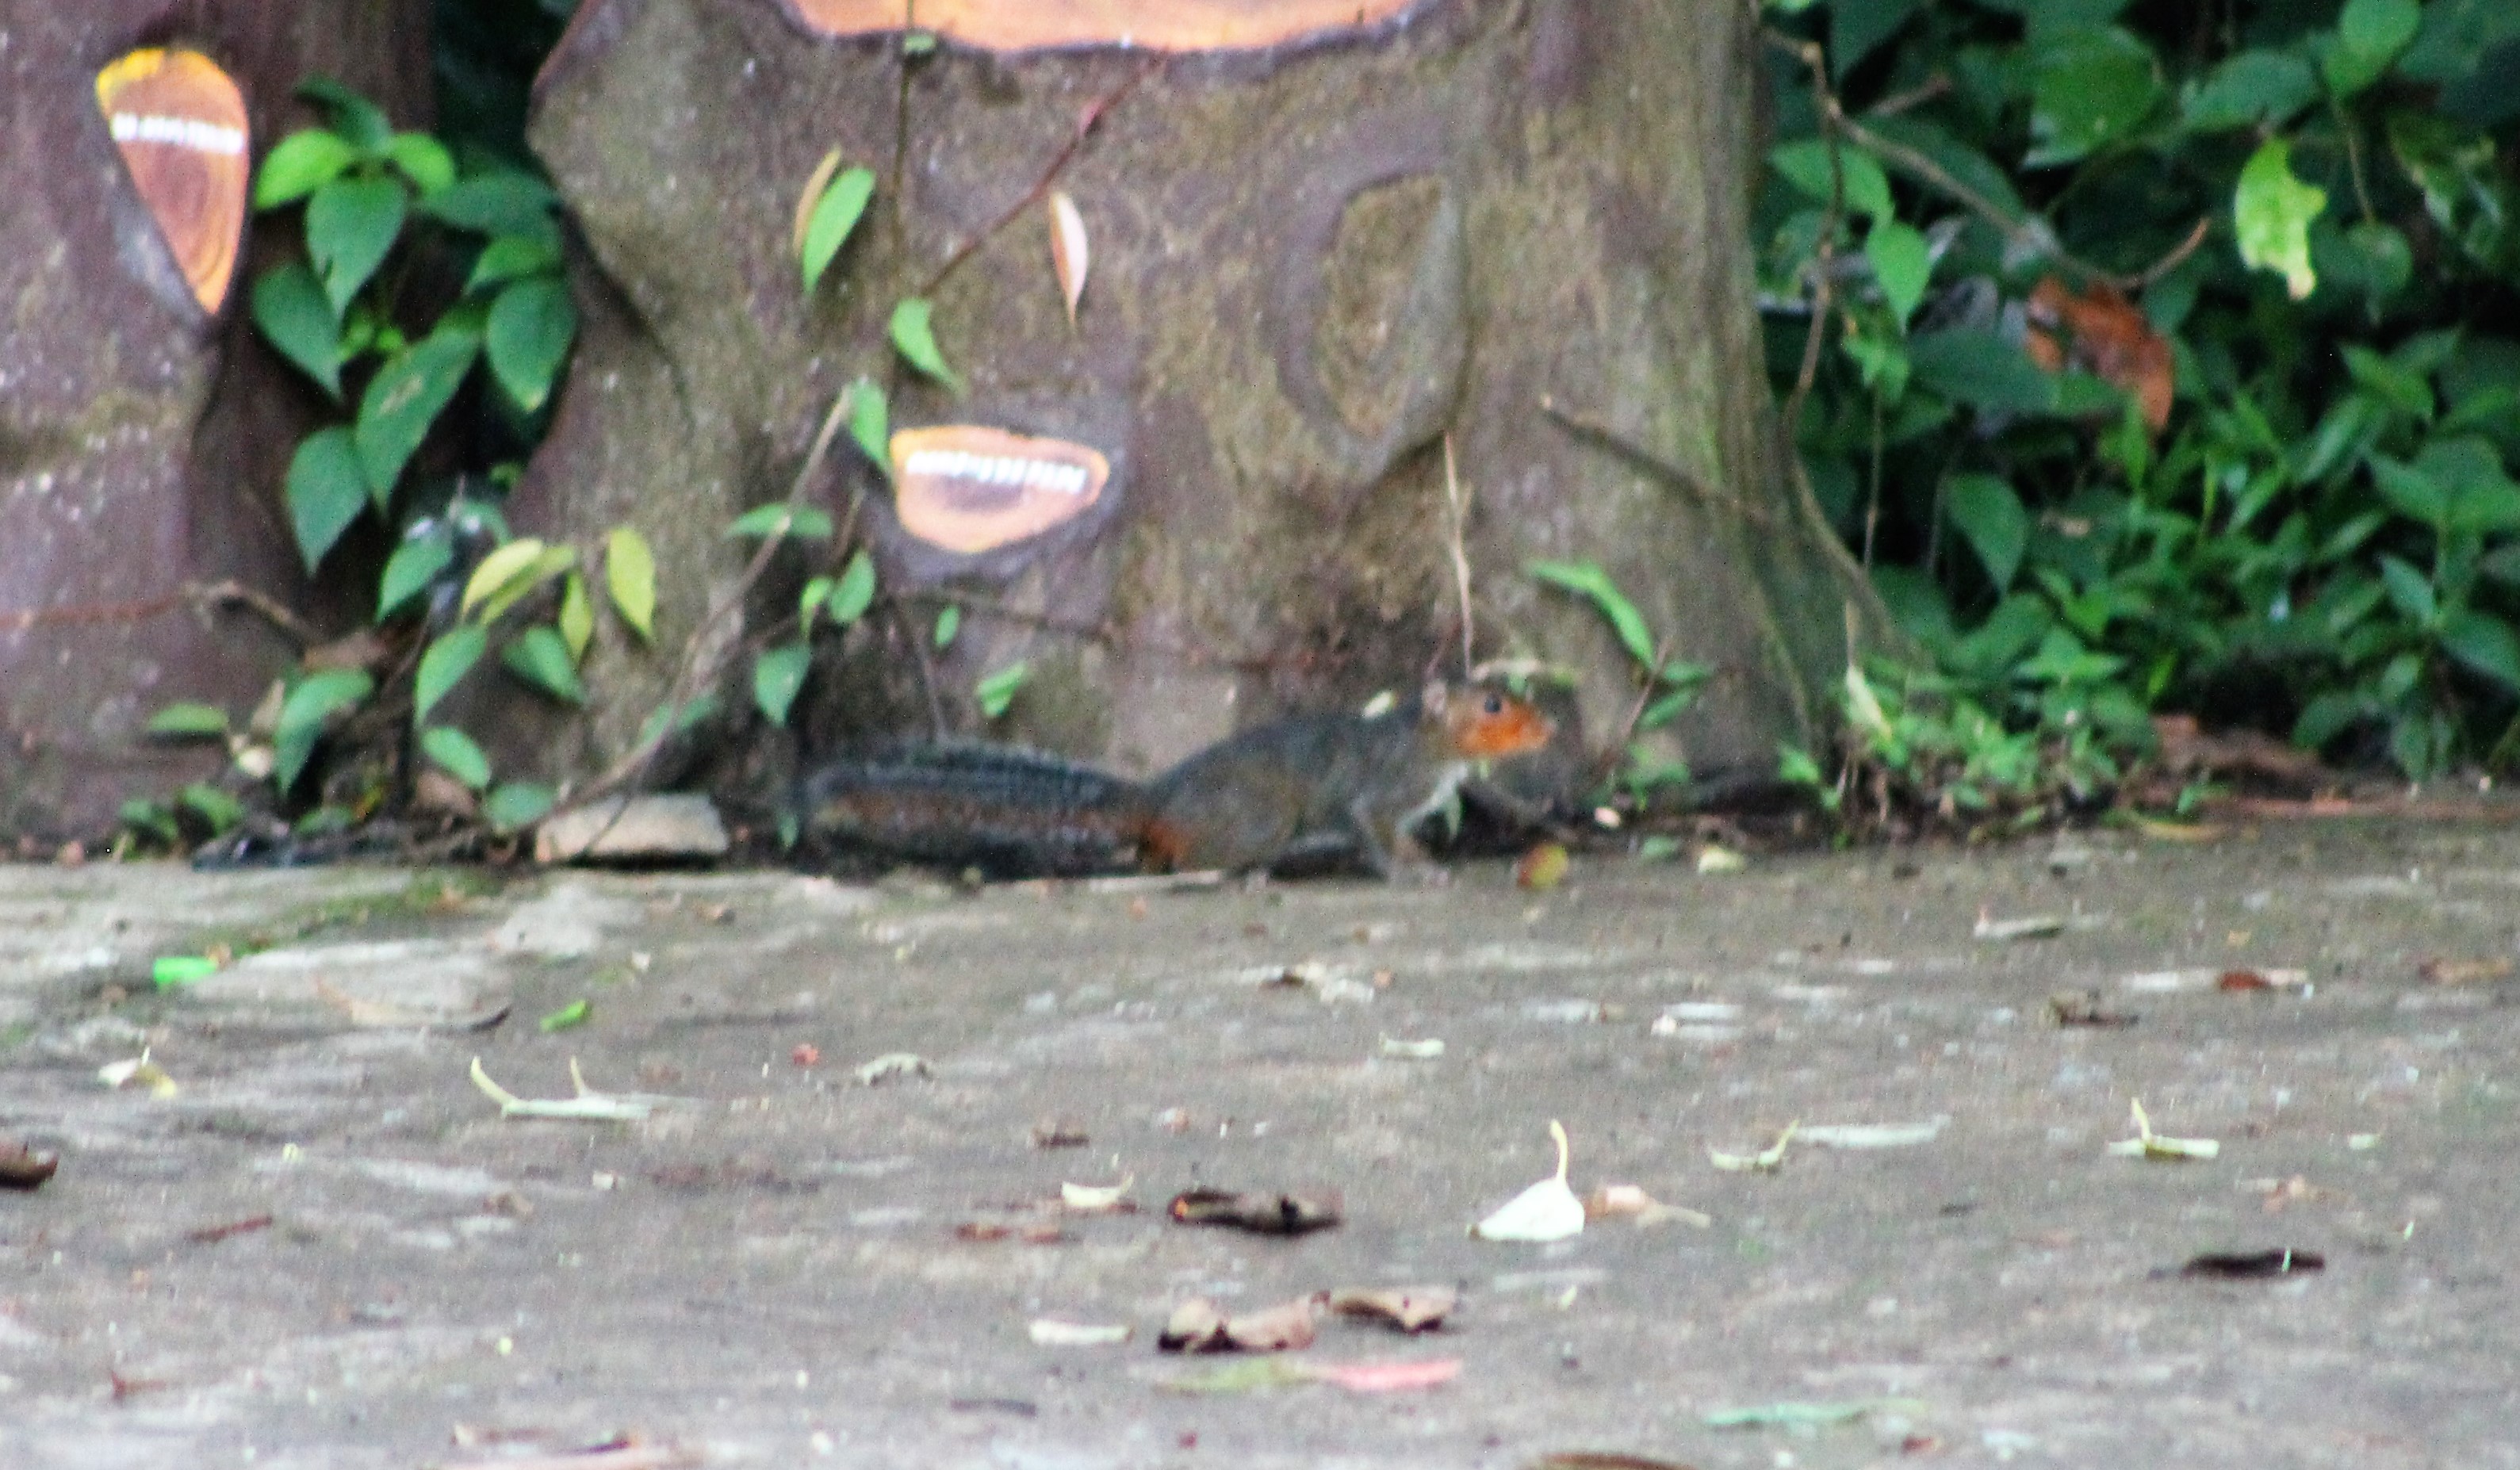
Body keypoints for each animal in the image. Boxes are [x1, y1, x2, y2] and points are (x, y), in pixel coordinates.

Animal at [799, 682, 1555, 880]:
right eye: (1492, 705)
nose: (1548, 726)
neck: (1426, 742)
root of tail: (1157, 797)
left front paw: (1422, 857)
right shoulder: (1379, 792)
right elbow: (1370, 831)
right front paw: (1410, 874)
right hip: (1261, 817)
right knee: (1193, 858)